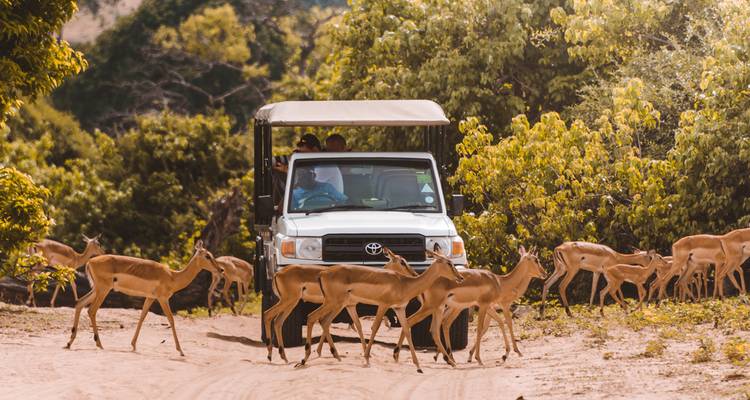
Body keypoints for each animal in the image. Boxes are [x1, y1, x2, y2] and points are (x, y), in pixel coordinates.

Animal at [65, 240, 222, 356]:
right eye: (207, 255)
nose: (220, 269)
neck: (172, 276)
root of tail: (90, 262)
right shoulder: (163, 299)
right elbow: (171, 319)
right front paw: (181, 351)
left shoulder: (150, 298)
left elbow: (142, 317)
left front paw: (133, 345)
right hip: (103, 289)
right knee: (91, 310)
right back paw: (99, 344)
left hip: (97, 289)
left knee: (79, 303)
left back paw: (69, 343)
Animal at [263, 248, 417, 363]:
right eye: (402, 262)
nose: (414, 273)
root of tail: (278, 273)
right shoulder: (343, 305)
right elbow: (329, 323)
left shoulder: (349, 305)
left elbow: (356, 325)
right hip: (291, 301)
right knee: (269, 315)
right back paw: (274, 355)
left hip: (290, 302)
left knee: (276, 320)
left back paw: (281, 356)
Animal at [296, 250, 463, 373]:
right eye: (449, 263)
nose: (460, 277)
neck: (404, 284)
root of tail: (322, 273)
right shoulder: (384, 305)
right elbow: (374, 327)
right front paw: (366, 358)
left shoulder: (399, 308)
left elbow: (407, 330)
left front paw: (418, 367)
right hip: (333, 303)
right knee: (312, 317)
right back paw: (304, 359)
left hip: (335, 304)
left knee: (322, 320)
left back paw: (329, 356)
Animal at [395, 246, 546, 366]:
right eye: (536, 259)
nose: (544, 273)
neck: (501, 282)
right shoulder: (491, 305)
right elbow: (494, 326)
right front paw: (483, 357)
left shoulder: (488, 307)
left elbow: (493, 325)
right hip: (433, 307)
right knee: (413, 321)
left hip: (443, 308)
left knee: (440, 324)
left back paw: (446, 358)